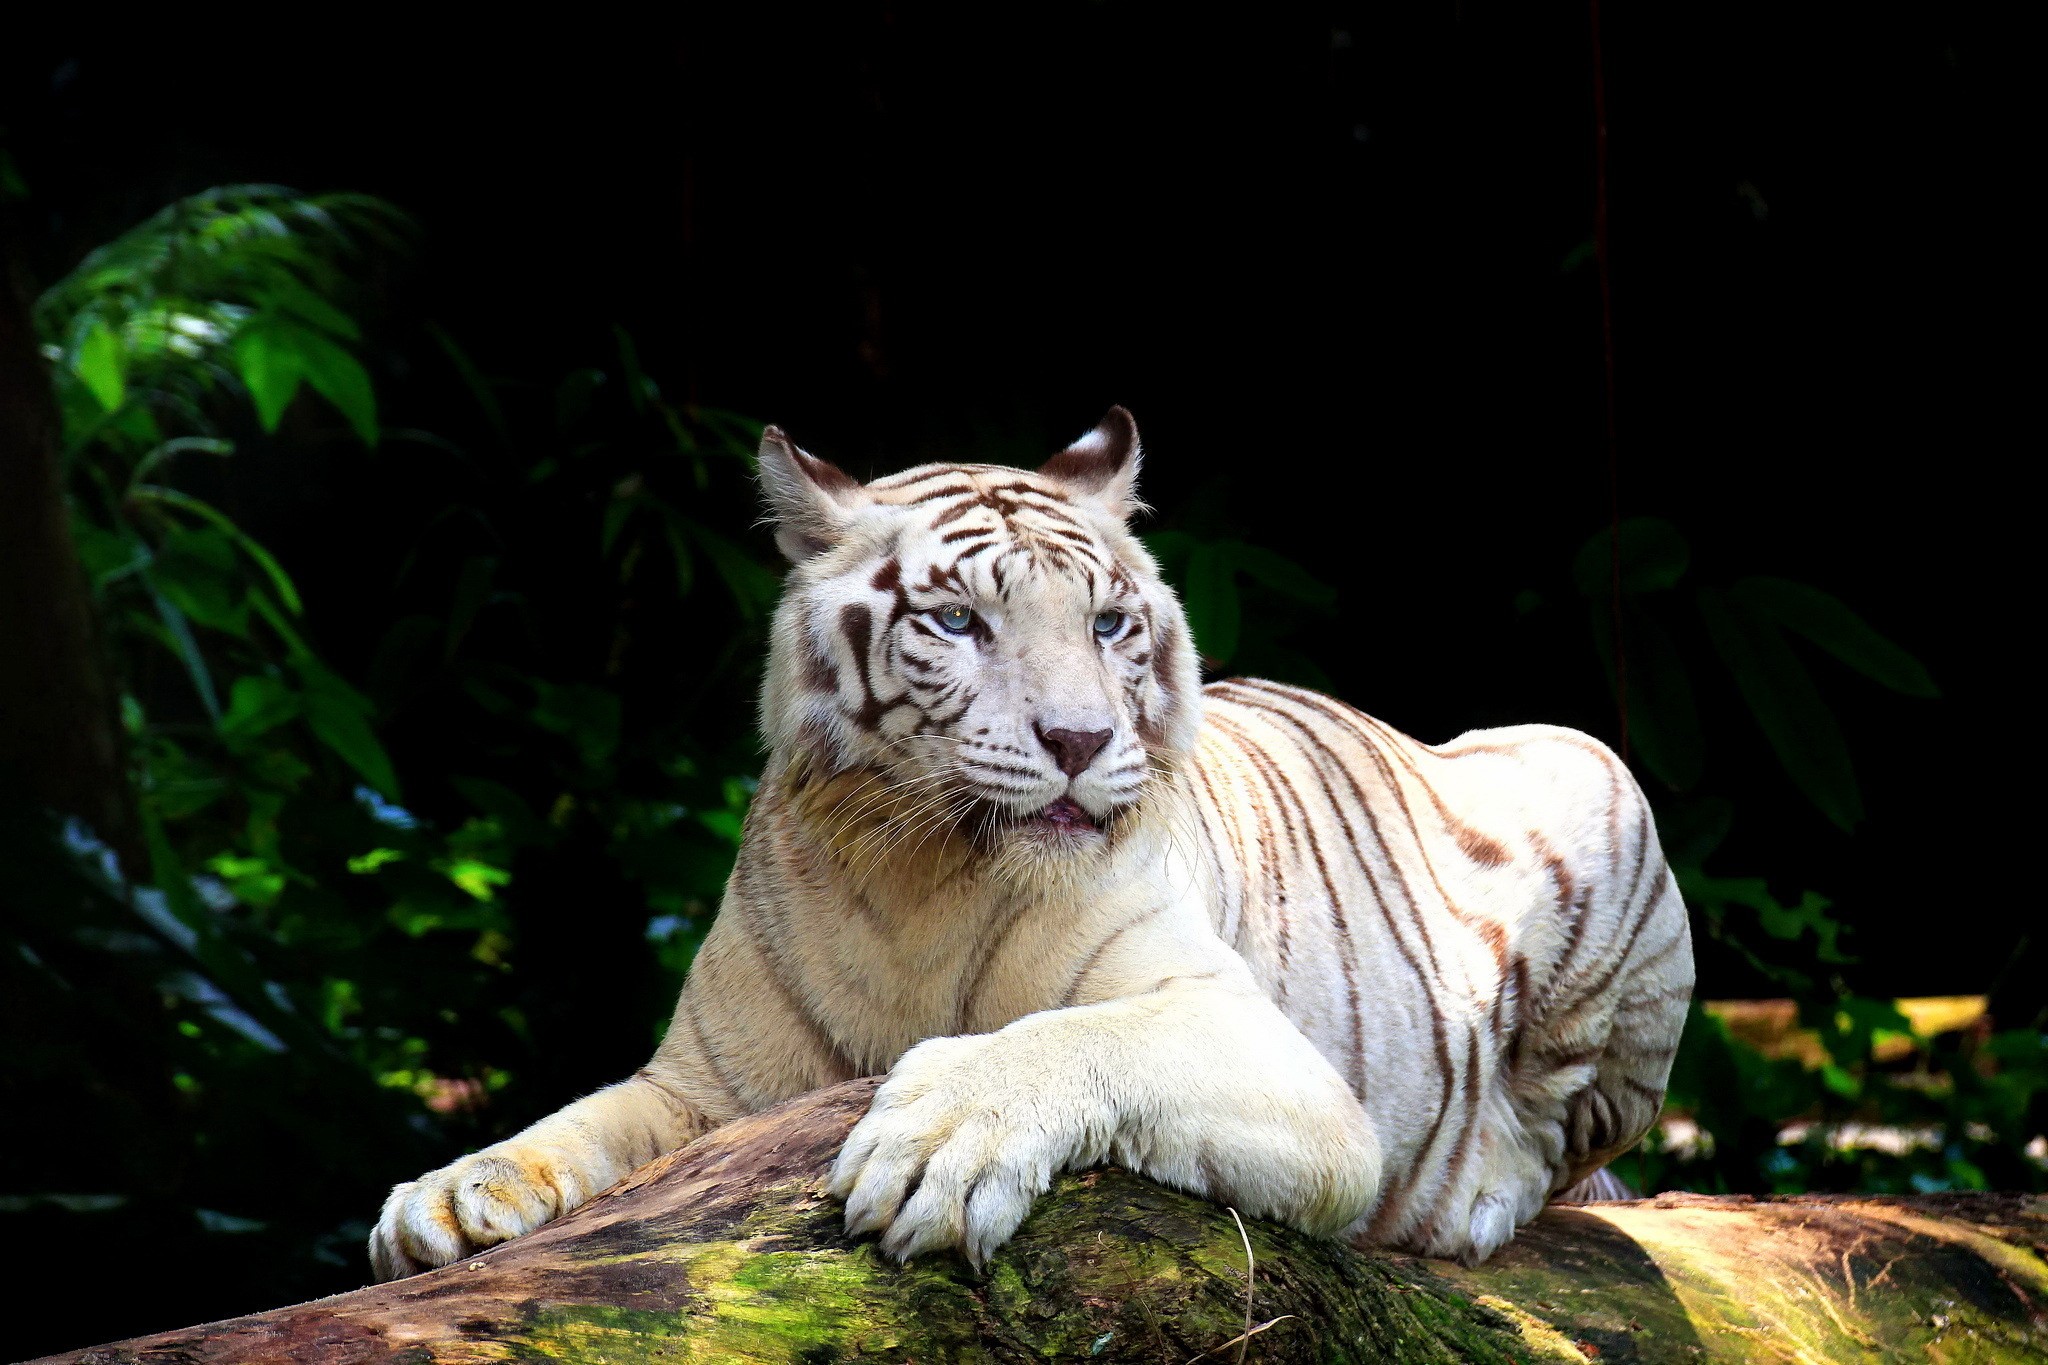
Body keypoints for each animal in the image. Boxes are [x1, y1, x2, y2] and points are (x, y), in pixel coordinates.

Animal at [368, 407, 1693, 1279]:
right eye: (957, 621)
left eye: (1107, 623)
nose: (1077, 737)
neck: (914, 873)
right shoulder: (706, 1087)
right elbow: (583, 1119)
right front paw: (449, 1197)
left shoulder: (1267, 1056)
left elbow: (1074, 1038)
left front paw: (939, 1143)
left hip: (1590, 778)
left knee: (1560, 1147)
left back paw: (1474, 1195)